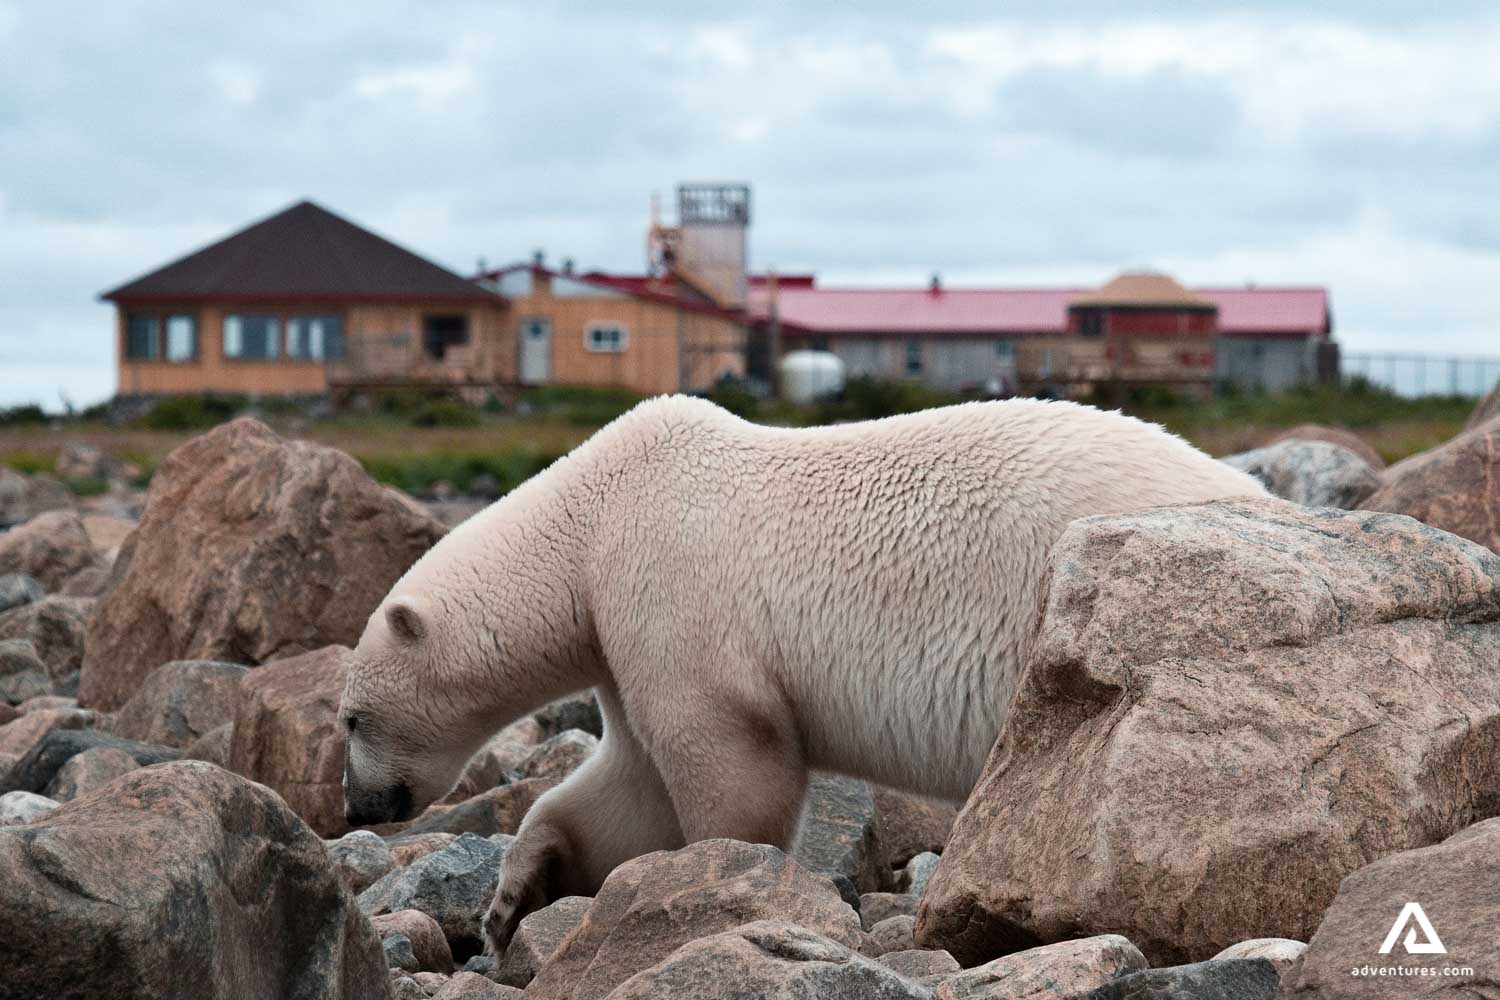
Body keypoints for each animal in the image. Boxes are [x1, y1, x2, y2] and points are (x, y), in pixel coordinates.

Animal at [337, 395, 1266, 955]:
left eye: (347, 719)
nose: (356, 807)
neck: (590, 524)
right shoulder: (621, 636)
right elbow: (628, 788)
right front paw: (514, 899)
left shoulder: (669, 588)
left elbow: (727, 760)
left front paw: (708, 888)